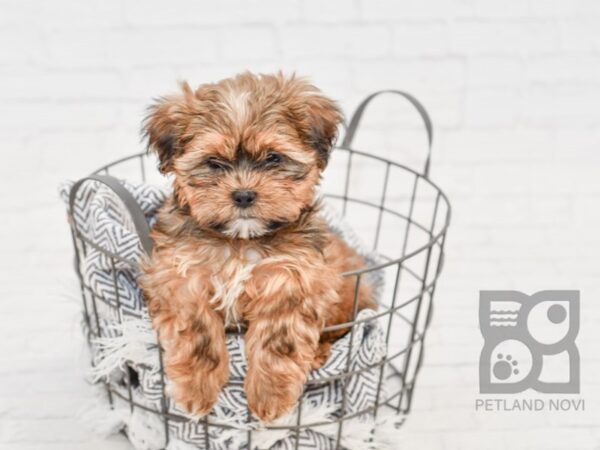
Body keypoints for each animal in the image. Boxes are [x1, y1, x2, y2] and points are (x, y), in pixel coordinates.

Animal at [141, 73, 376, 422]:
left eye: (273, 158)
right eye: (214, 163)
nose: (243, 195)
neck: (242, 241)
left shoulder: (293, 279)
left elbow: (279, 339)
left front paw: (271, 396)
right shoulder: (181, 275)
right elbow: (197, 332)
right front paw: (197, 388)